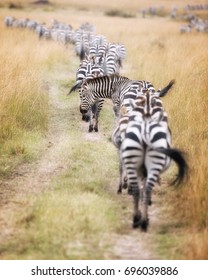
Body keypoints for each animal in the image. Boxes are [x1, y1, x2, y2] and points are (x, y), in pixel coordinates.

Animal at [119, 91, 188, 230]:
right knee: (147, 188)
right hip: (154, 163)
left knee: (137, 189)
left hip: (132, 159)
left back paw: (136, 219)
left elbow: (140, 187)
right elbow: (144, 187)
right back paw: (144, 221)